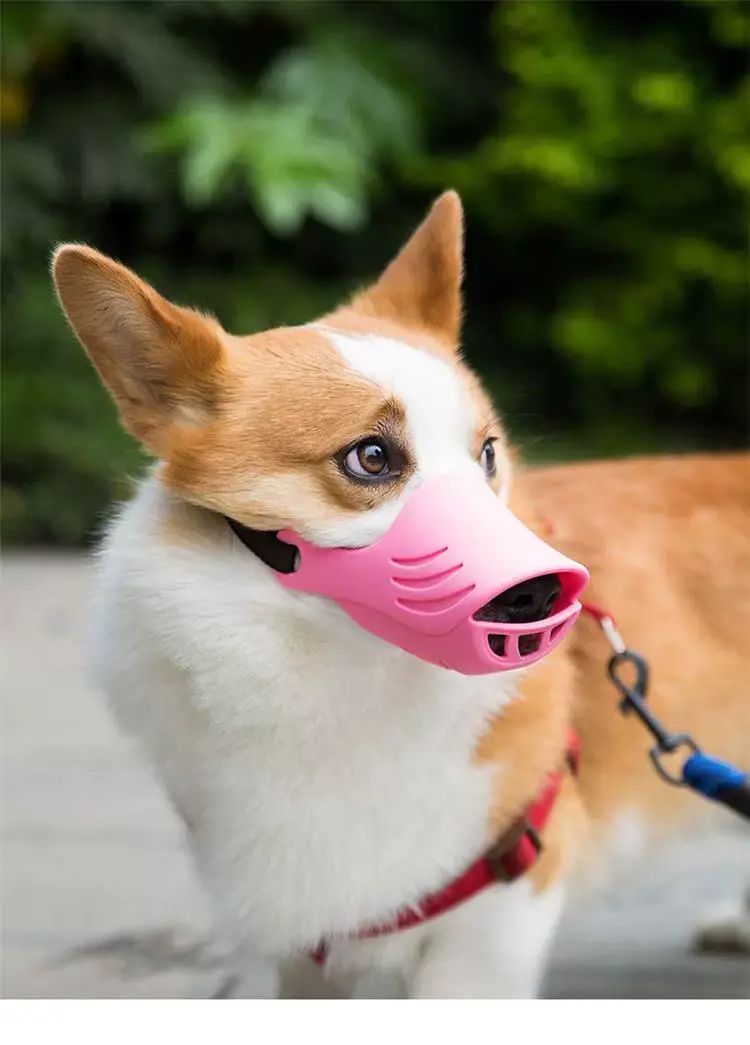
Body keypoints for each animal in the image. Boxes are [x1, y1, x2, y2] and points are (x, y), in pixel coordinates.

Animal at [52, 192, 749, 997]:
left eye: (488, 454)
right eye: (372, 457)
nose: (543, 596)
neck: (339, 676)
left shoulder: (494, 920)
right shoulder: (295, 945)